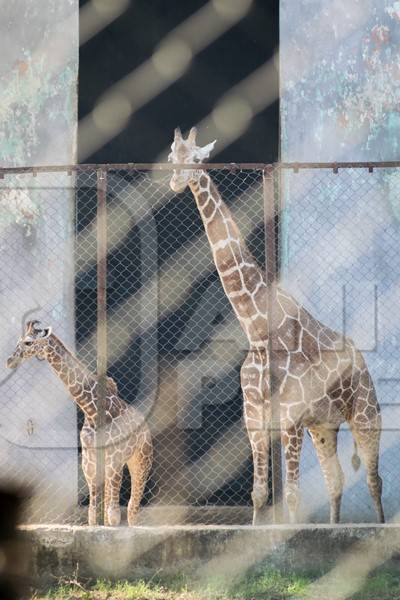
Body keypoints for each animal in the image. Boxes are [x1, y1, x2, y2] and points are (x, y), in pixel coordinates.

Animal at [6, 318, 153, 524]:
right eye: (19, 341)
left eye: (28, 342)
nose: (10, 361)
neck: (91, 411)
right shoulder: (89, 460)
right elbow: (93, 513)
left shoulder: (115, 458)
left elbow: (114, 514)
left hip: (142, 459)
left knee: (133, 505)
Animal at [168, 127, 384, 524]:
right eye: (172, 158)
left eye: (197, 159)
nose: (176, 181)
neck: (257, 329)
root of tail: (363, 362)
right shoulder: (254, 418)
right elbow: (258, 493)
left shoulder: (290, 418)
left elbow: (293, 496)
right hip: (323, 426)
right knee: (335, 479)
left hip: (364, 413)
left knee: (374, 479)